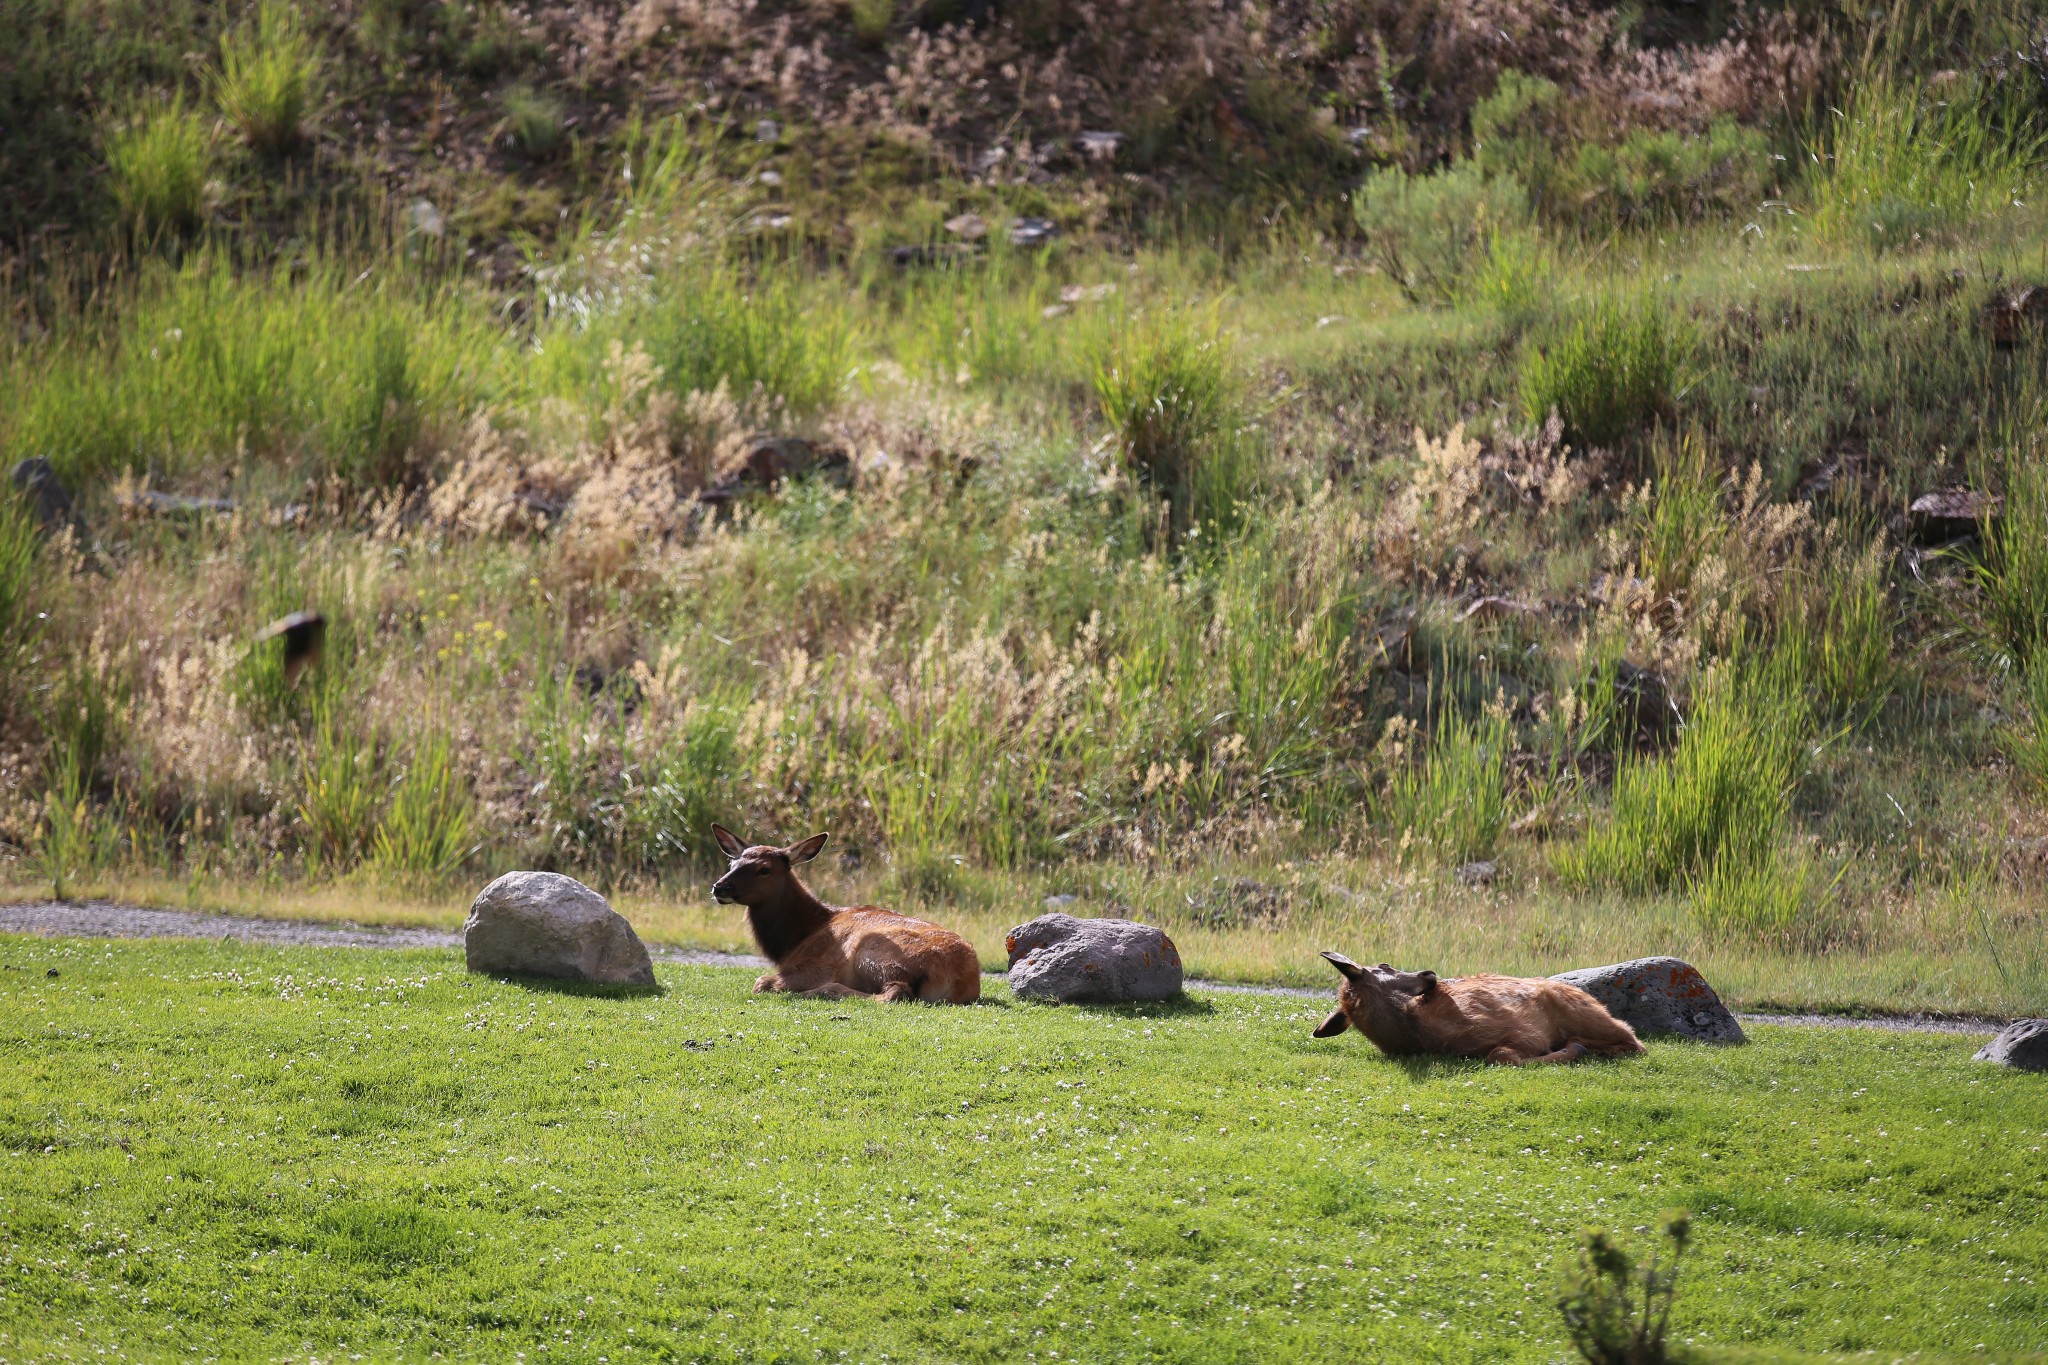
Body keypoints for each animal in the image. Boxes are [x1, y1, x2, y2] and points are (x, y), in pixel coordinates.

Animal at [712, 822, 983, 1002]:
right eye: (732, 862)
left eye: (764, 869)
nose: (719, 887)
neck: (794, 940)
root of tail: (961, 977)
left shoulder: (817, 965)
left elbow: (761, 981)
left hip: (873, 951)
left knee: (895, 992)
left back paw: (824, 991)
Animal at [1310, 949, 1646, 1064]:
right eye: (1385, 965)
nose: (1429, 974)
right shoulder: (1527, 1035)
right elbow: (1500, 1056)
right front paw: (1572, 1050)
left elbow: (1500, 1055)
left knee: (1635, 1040)